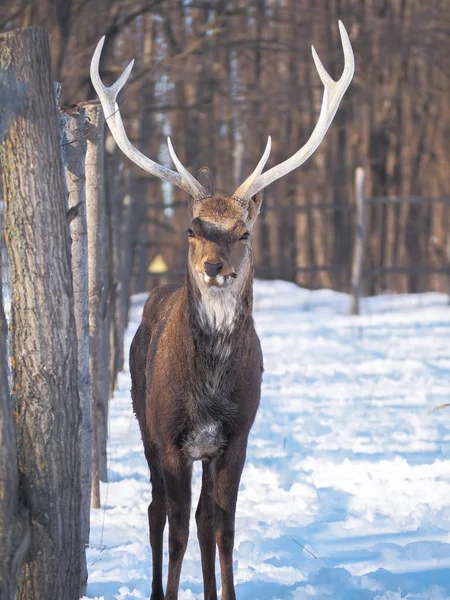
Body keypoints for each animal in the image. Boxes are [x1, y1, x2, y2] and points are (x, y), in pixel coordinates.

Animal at [89, 19, 354, 600]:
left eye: (244, 230)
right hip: (142, 420)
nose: (215, 266)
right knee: (157, 512)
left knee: (203, 519)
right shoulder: (169, 437)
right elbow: (175, 530)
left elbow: (223, 527)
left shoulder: (237, 437)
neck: (209, 386)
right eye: (193, 228)